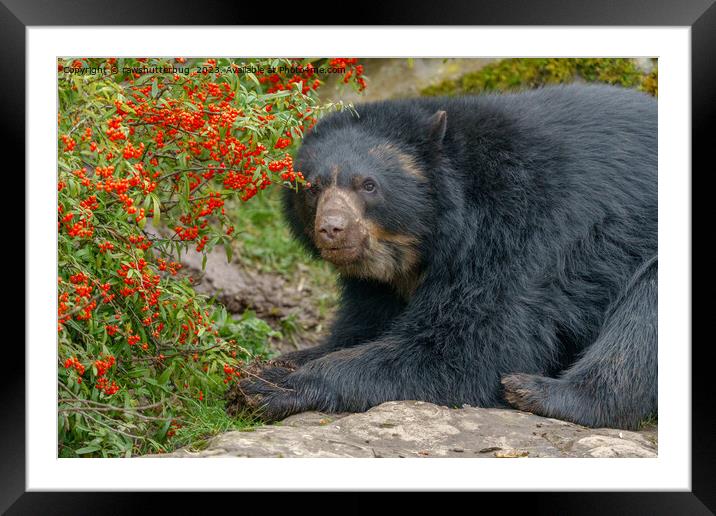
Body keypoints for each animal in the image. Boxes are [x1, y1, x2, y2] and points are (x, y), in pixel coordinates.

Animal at [234, 83, 656, 432]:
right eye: (313, 188)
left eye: (368, 186)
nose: (332, 229)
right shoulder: (377, 285)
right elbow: (361, 327)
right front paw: (269, 364)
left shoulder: (518, 232)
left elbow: (472, 347)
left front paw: (272, 387)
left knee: (642, 317)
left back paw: (538, 392)